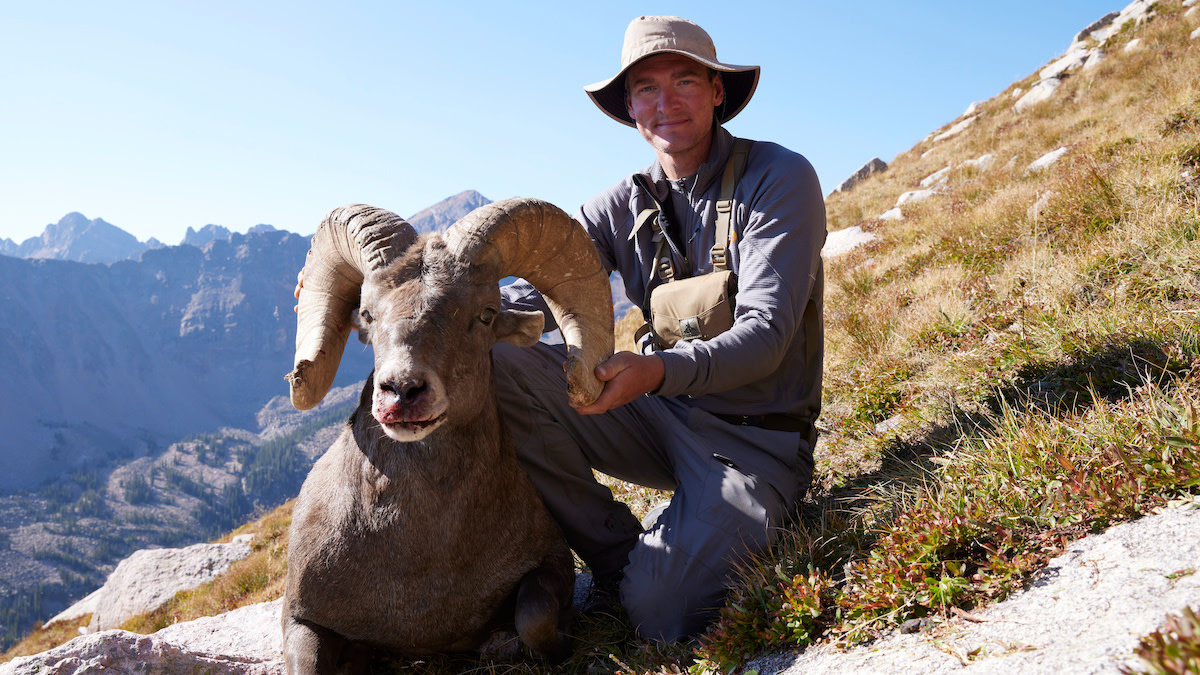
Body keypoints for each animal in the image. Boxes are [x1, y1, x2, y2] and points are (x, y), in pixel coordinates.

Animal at [281, 198, 614, 673]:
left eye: (486, 314)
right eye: (368, 314)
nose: (402, 391)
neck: (421, 559)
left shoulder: (551, 564)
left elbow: (533, 620)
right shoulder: (300, 621)